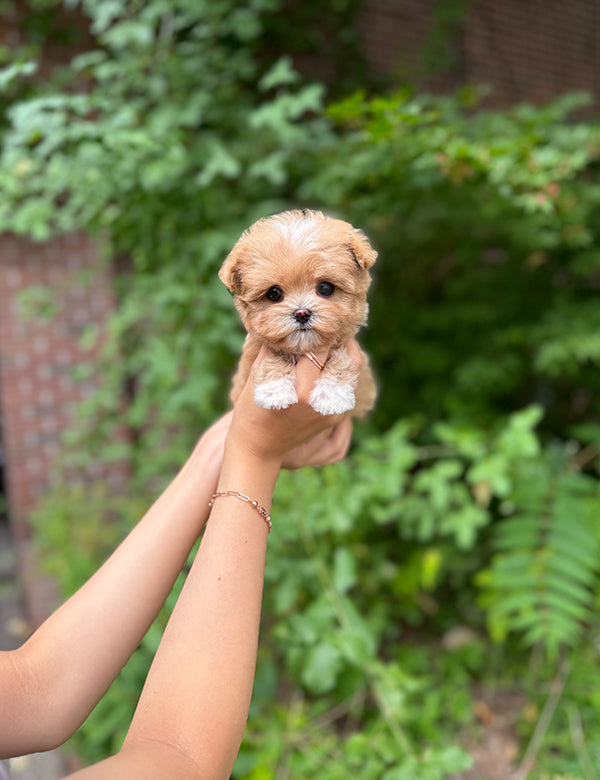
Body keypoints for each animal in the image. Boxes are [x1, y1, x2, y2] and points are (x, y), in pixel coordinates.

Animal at [220, 206, 378, 414]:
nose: (301, 314)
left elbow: (341, 357)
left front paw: (332, 394)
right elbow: (270, 357)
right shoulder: (249, 364)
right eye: (274, 293)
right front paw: (275, 389)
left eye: (325, 288)